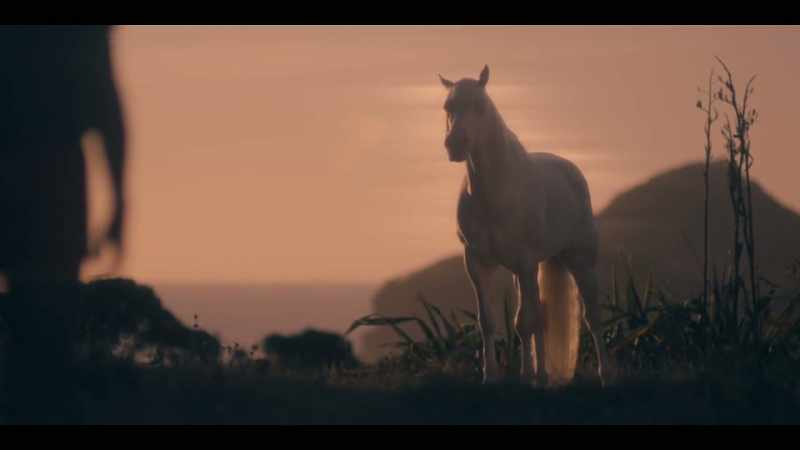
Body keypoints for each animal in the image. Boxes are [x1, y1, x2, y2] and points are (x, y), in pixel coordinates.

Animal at [438, 65, 610, 387]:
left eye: (479, 106)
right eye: (448, 107)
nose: (454, 145)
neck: (495, 193)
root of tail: (572, 172)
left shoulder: (525, 262)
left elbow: (524, 322)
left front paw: (527, 375)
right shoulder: (478, 263)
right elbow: (489, 321)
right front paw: (491, 376)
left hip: (579, 261)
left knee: (591, 315)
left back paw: (603, 374)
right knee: (541, 315)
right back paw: (541, 374)